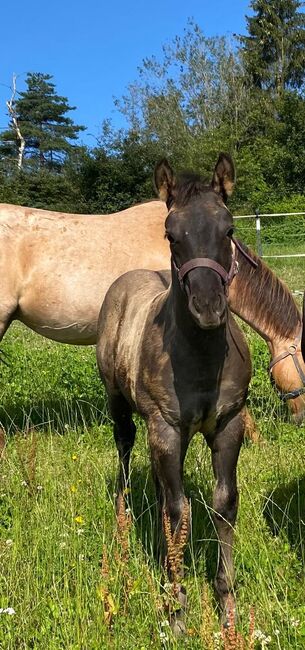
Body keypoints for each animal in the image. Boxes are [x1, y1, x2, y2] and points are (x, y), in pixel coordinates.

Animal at [96, 154, 251, 632]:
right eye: (170, 234)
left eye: (229, 229)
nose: (208, 307)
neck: (198, 357)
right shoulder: (164, 427)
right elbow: (177, 511)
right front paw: (176, 606)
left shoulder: (229, 424)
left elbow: (223, 503)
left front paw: (226, 606)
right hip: (121, 404)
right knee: (125, 450)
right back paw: (123, 519)